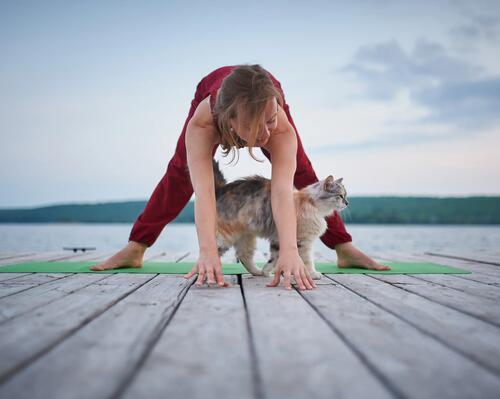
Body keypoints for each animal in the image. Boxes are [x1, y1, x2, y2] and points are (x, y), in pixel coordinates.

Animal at [213, 161, 350, 280]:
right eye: (340, 196)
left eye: (345, 195)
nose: (347, 203)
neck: (310, 203)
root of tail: (220, 190)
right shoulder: (303, 241)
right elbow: (307, 260)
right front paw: (313, 274)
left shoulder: (278, 240)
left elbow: (274, 258)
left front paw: (266, 271)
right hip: (227, 236)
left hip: (247, 236)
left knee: (244, 256)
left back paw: (258, 272)